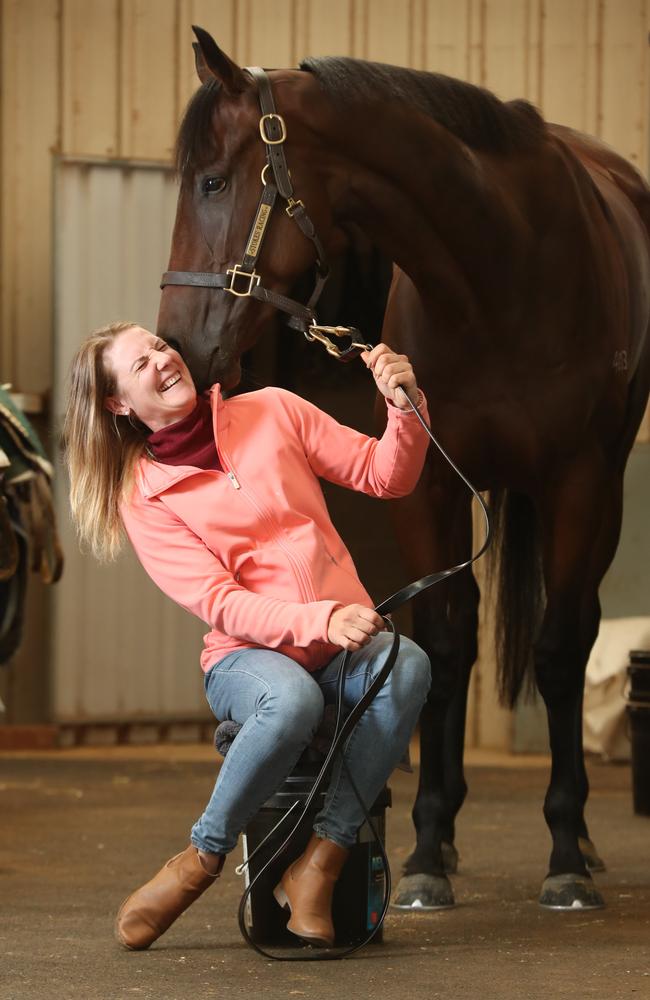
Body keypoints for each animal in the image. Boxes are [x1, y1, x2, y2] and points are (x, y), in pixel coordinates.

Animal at [156, 25, 648, 916]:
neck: (505, 271)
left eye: (213, 180)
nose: (175, 345)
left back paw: (586, 846)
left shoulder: (580, 481)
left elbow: (561, 650)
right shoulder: (429, 486)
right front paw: (424, 850)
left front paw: (564, 851)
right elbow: (446, 642)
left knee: (579, 627)